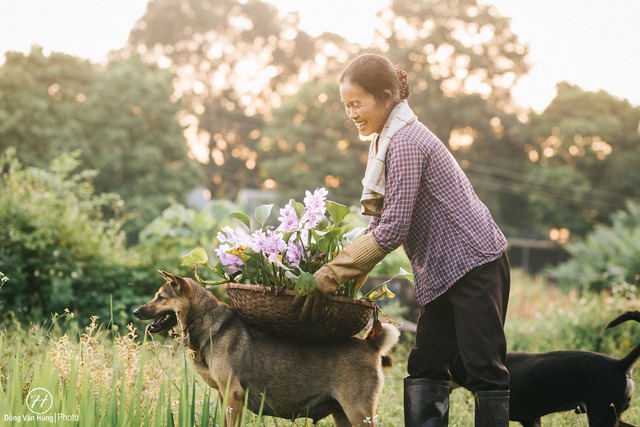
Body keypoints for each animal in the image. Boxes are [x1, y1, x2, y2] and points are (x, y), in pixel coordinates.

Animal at [132, 272, 398, 426]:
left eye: (160, 297)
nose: (136, 311)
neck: (206, 321)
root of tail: (371, 343)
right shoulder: (224, 397)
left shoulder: (234, 395)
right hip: (341, 413)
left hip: (358, 411)